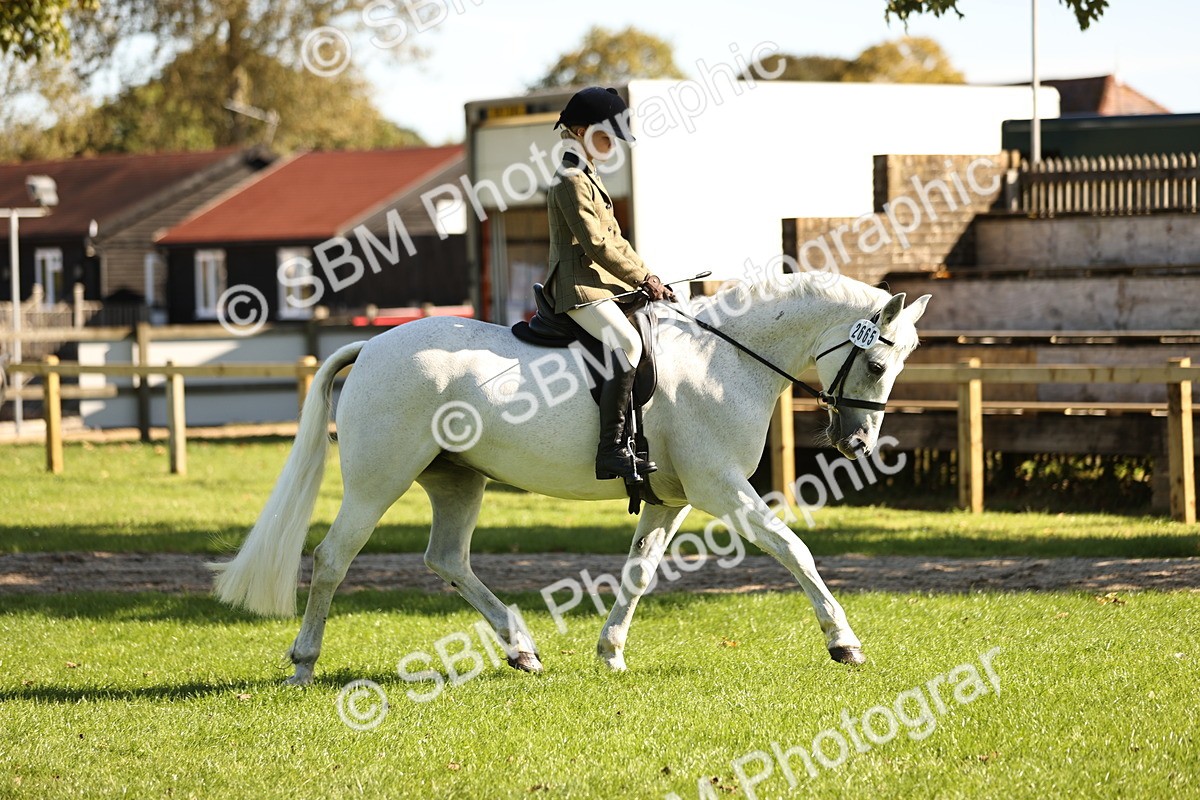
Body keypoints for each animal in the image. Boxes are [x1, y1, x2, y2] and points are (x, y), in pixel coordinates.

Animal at [211, 272, 931, 685]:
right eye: (875, 364)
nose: (858, 443)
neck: (723, 360)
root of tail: (374, 345)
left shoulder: (670, 501)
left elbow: (639, 572)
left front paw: (610, 653)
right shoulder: (721, 488)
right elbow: (794, 550)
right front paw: (844, 643)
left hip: (457, 481)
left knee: (447, 559)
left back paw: (522, 651)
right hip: (376, 483)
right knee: (334, 558)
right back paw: (303, 664)